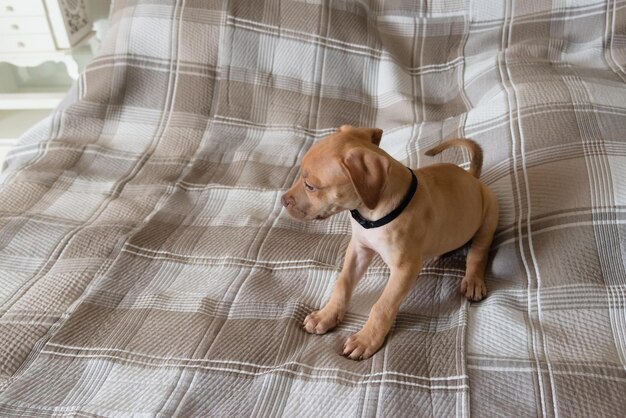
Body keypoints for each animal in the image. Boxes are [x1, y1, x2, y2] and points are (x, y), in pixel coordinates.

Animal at [282, 125, 498, 360]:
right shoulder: (358, 250)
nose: (283, 200)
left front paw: (365, 340)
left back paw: (473, 280)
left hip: (489, 214)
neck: (371, 213)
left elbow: (382, 306)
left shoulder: (405, 269)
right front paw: (326, 316)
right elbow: (343, 283)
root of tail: (473, 178)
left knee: (479, 251)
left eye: (310, 186)